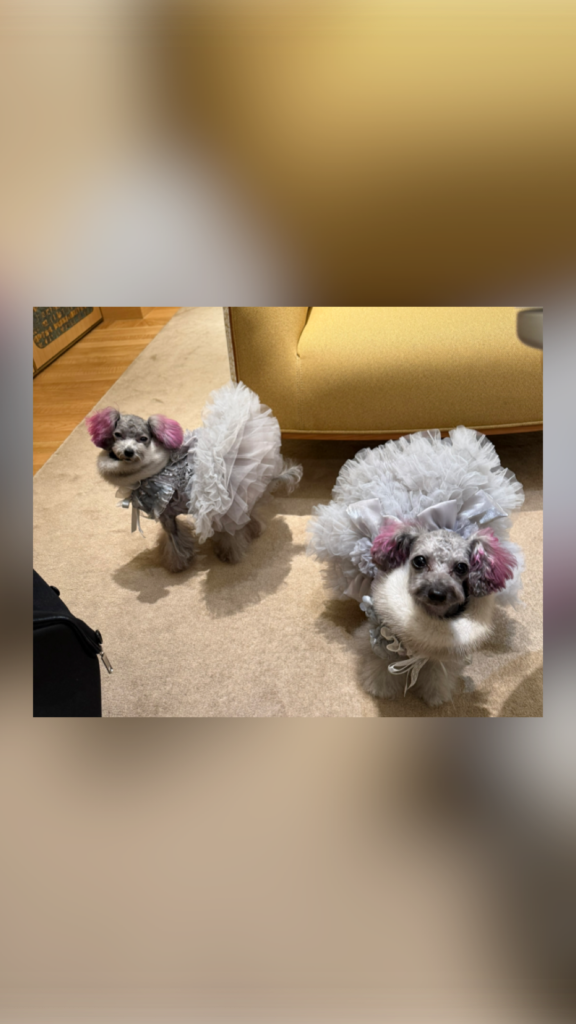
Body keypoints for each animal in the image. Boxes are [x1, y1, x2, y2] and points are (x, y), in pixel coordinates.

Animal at [87, 382, 302, 572]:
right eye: (117, 435)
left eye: (143, 439)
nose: (128, 452)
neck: (151, 474)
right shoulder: (168, 516)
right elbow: (174, 538)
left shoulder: (165, 514)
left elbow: (173, 541)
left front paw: (177, 565)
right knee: (249, 515)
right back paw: (254, 530)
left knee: (233, 528)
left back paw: (231, 552)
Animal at [308, 427, 524, 707]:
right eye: (419, 561)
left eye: (462, 568)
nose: (437, 593)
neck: (429, 618)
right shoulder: (381, 635)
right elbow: (380, 662)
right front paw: (380, 688)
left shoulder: (442, 648)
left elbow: (438, 670)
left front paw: (435, 694)